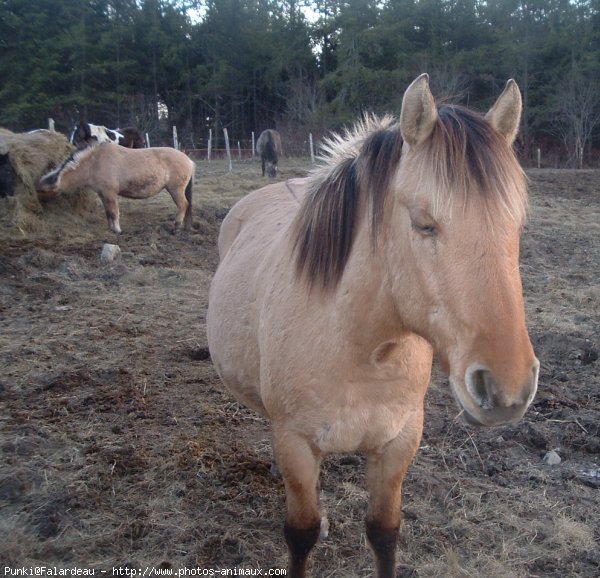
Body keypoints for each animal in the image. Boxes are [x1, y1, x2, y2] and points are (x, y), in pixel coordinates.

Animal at [37, 142, 195, 232]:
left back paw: (176, 227)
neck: (94, 162)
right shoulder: (102, 194)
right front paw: (110, 228)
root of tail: (188, 159)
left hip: (175, 190)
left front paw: (117, 230)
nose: (38, 206)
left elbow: (114, 212)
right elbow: (108, 213)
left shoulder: (110, 194)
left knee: (183, 205)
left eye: (42, 191)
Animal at [207, 75, 540, 576]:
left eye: (517, 226)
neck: (358, 347)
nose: (508, 387)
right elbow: (301, 533)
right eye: (424, 224)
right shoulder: (296, 443)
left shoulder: (398, 443)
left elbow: (384, 532)